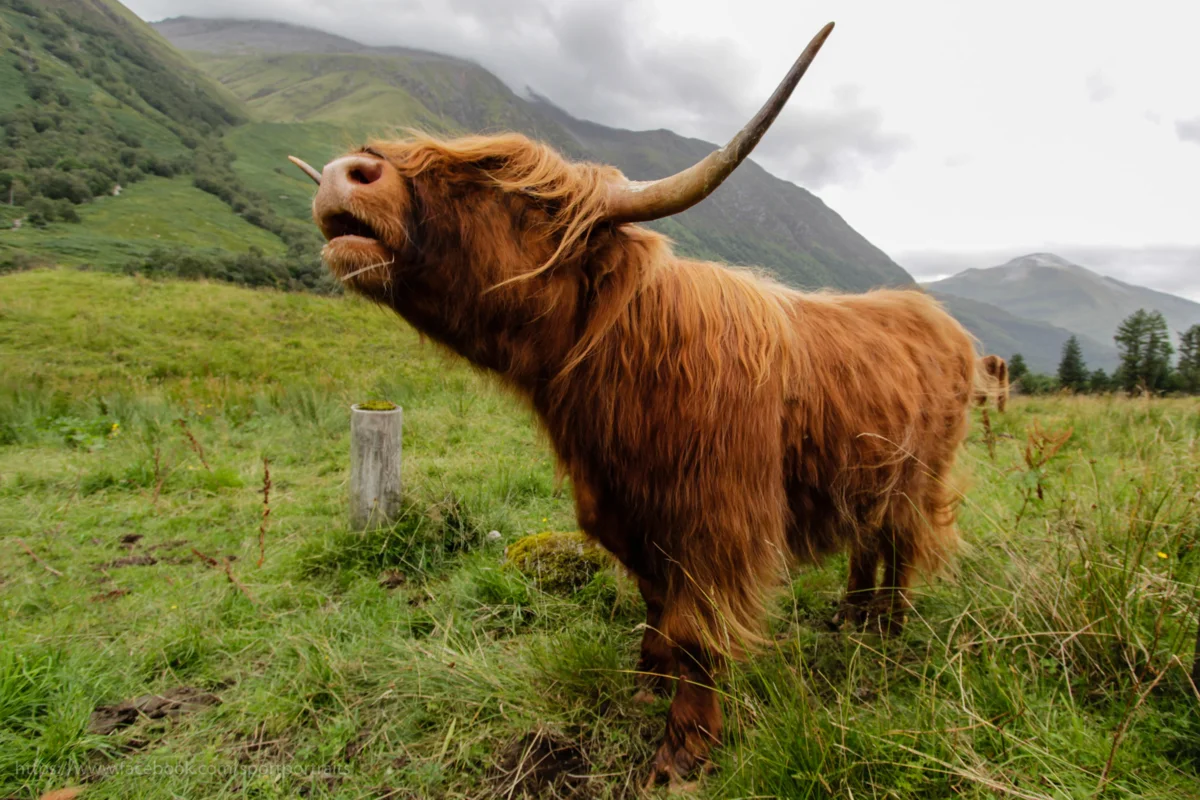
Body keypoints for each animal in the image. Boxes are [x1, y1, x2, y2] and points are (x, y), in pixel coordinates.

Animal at [290, 20, 974, 786]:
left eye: (522, 199)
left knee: (903, 543)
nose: (347, 173)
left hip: (920, 476)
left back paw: (887, 628)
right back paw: (851, 616)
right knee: (868, 539)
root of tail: (934, 315)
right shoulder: (625, 515)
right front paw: (648, 678)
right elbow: (654, 601)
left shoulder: (716, 528)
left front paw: (683, 748)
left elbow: (696, 631)